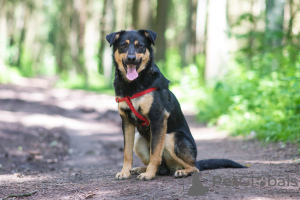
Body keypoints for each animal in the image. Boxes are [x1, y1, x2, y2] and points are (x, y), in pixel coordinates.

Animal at [105, 29, 246, 181]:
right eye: (123, 45)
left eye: (140, 46)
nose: (131, 58)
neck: (133, 86)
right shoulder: (127, 122)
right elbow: (127, 152)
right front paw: (125, 172)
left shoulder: (158, 118)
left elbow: (155, 153)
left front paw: (149, 175)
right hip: (139, 141)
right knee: (162, 167)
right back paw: (141, 169)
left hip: (171, 138)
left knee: (194, 167)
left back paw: (181, 171)